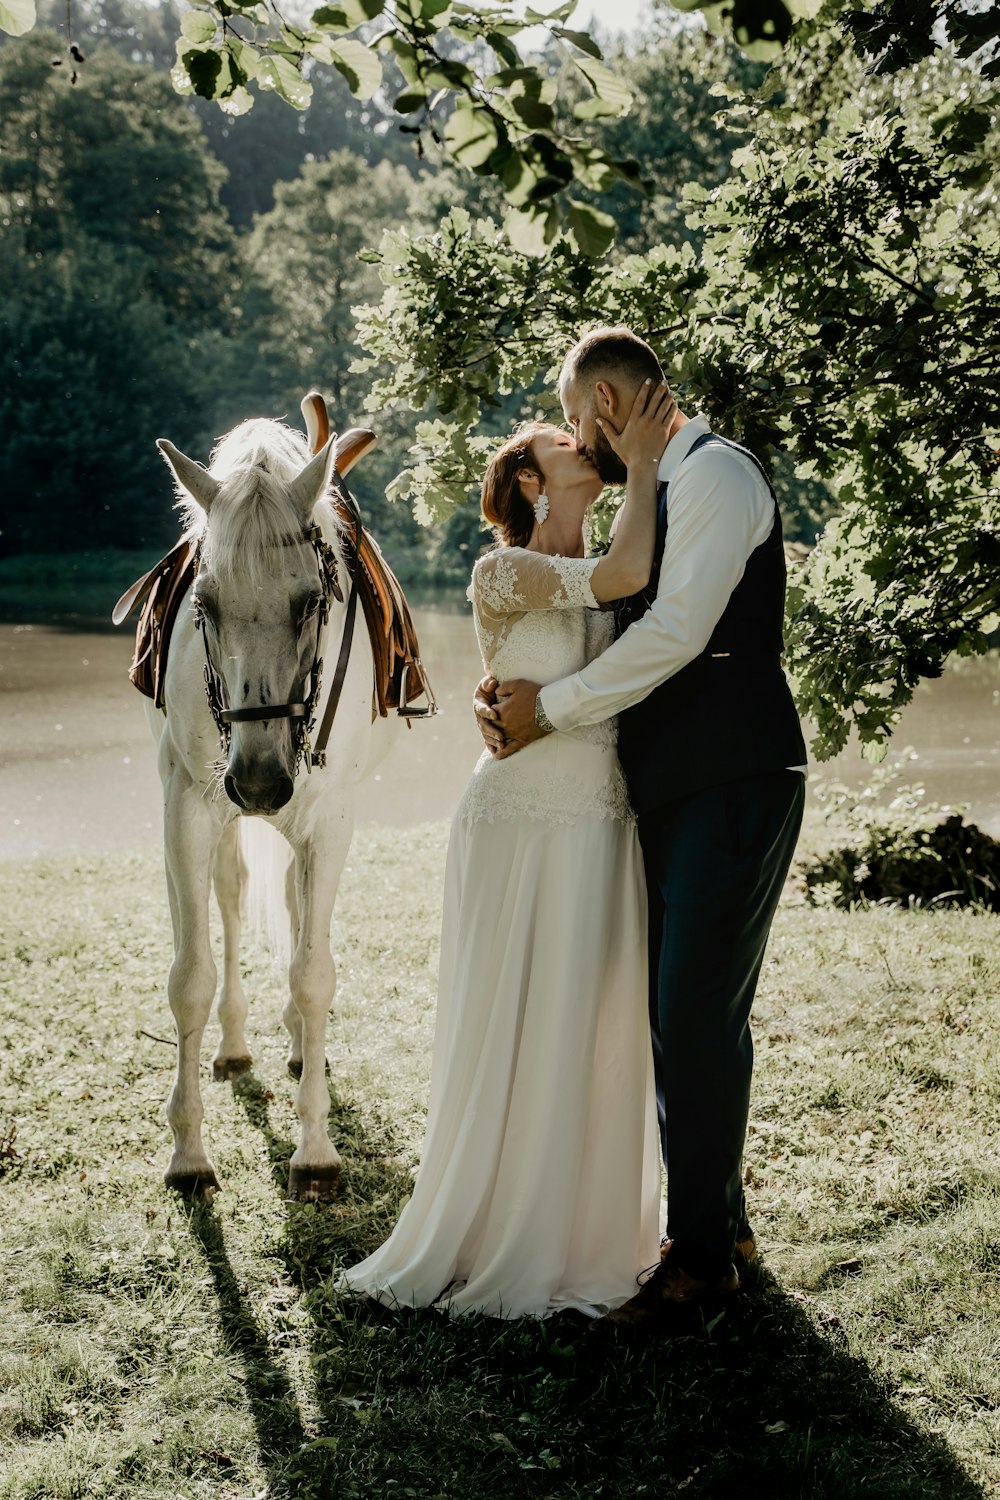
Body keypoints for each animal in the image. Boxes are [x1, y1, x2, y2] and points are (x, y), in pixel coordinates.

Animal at [150, 411, 395, 1206]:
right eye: (203, 605)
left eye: (311, 601)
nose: (258, 782)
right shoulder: (187, 809)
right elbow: (191, 979)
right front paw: (189, 1153)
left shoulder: (332, 820)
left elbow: (314, 976)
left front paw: (314, 1149)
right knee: (232, 899)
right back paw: (235, 1047)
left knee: (291, 903)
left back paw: (295, 1050)